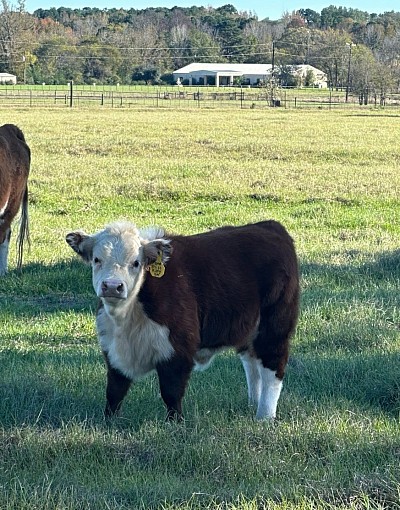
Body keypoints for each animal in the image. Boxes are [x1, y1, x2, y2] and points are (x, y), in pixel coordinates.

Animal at [65, 221, 298, 420]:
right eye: (97, 260)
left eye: (135, 262)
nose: (112, 286)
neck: (127, 319)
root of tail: (269, 226)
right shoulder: (112, 347)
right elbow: (114, 390)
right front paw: (109, 421)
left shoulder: (178, 347)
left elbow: (171, 391)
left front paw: (175, 423)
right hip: (248, 330)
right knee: (252, 363)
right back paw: (252, 405)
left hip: (275, 326)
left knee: (272, 366)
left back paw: (264, 416)